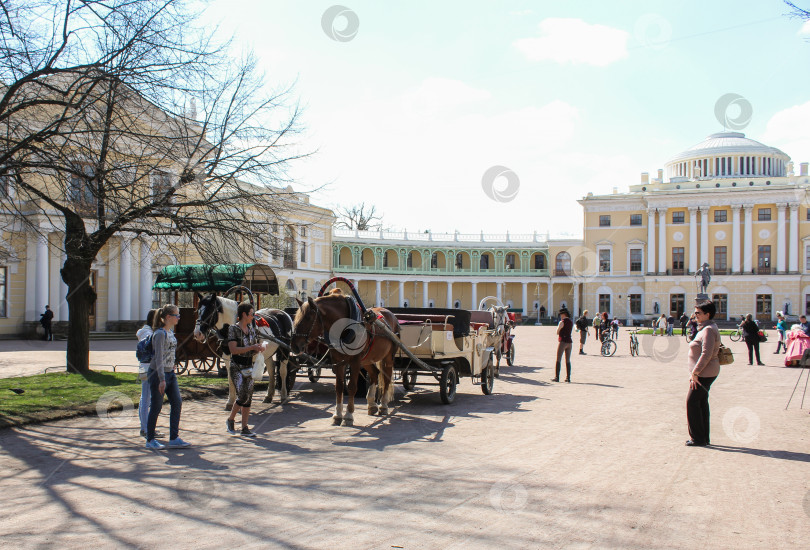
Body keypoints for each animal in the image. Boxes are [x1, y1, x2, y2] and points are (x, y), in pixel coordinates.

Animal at [290, 292, 400, 430]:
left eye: (308, 318)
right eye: (295, 317)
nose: (294, 346)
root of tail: (391, 314)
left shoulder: (355, 361)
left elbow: (352, 387)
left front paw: (348, 416)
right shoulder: (339, 361)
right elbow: (339, 387)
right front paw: (337, 415)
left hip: (388, 357)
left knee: (387, 378)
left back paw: (383, 405)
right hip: (367, 359)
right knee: (375, 373)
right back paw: (371, 404)